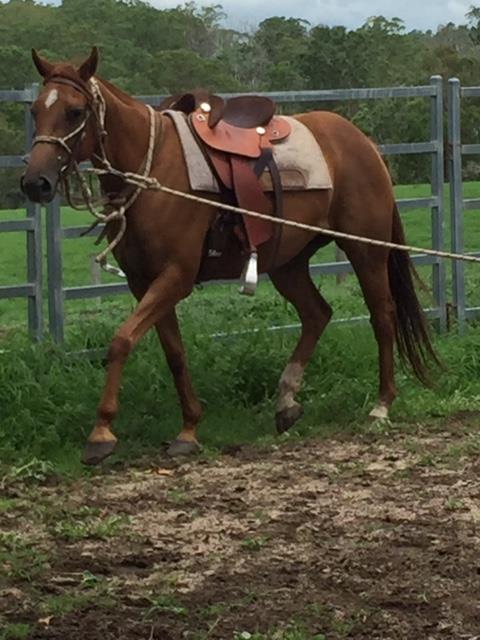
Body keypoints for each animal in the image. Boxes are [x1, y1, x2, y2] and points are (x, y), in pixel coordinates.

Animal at [21, 47, 438, 465]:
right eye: (35, 110)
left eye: (75, 111)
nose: (34, 183)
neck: (152, 169)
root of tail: (363, 143)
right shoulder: (145, 283)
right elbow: (174, 353)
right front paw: (189, 427)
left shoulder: (176, 276)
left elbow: (121, 341)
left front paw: (102, 433)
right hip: (288, 263)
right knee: (317, 314)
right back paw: (286, 402)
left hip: (367, 250)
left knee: (382, 316)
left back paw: (381, 405)